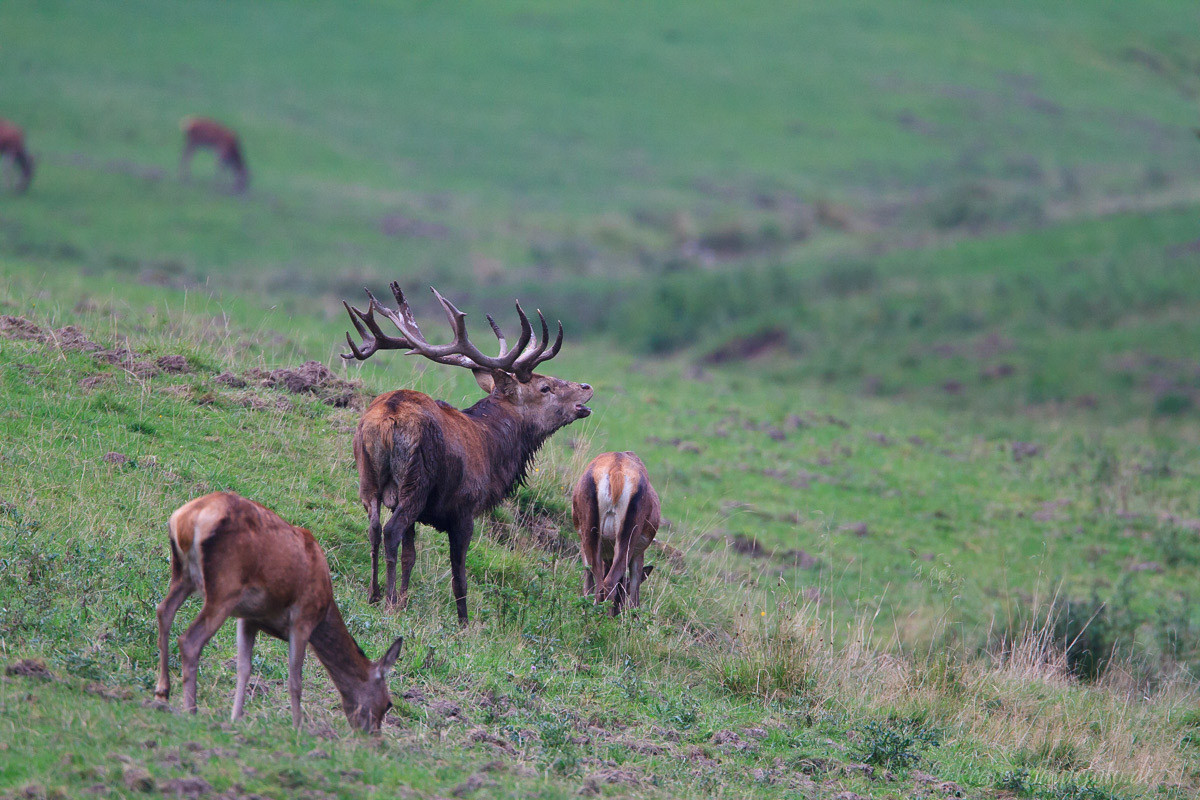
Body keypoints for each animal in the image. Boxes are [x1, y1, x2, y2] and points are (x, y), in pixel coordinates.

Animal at [340, 281, 592, 623]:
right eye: (545, 388)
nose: (586, 388)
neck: (494, 450)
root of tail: (385, 418)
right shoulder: (464, 508)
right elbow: (459, 574)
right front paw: (463, 621)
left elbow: (410, 555)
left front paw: (405, 601)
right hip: (416, 480)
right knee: (391, 531)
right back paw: (388, 600)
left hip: (368, 477)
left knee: (374, 528)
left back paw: (374, 595)